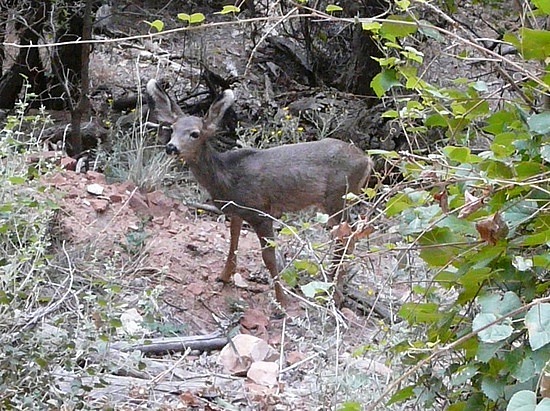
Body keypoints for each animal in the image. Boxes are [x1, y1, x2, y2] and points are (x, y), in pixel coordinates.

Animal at [147, 79, 376, 308]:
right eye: (172, 128)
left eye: (195, 133)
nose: (171, 147)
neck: (227, 178)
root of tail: (367, 160)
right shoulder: (237, 211)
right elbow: (233, 242)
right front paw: (224, 276)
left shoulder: (261, 212)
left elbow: (268, 257)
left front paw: (282, 300)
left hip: (339, 196)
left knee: (347, 236)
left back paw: (335, 293)